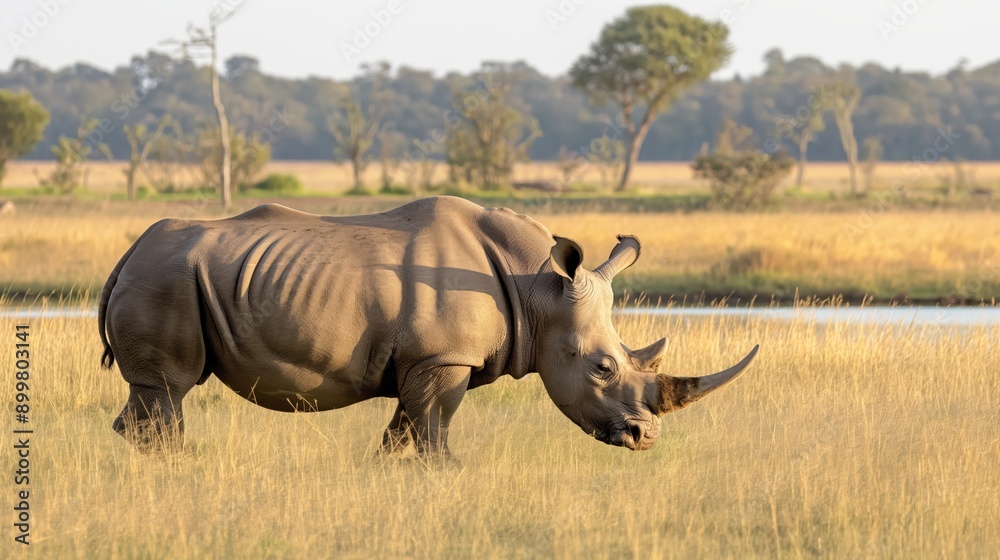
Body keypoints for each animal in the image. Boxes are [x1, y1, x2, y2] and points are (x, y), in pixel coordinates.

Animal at [99, 197, 758, 455]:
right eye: (603, 367)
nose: (646, 438)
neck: (538, 289)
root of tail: (127, 252)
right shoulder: (443, 359)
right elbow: (433, 428)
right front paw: (443, 472)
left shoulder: (426, 361)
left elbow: (406, 430)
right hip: (166, 277)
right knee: (169, 389)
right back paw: (172, 464)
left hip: (171, 274)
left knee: (151, 394)